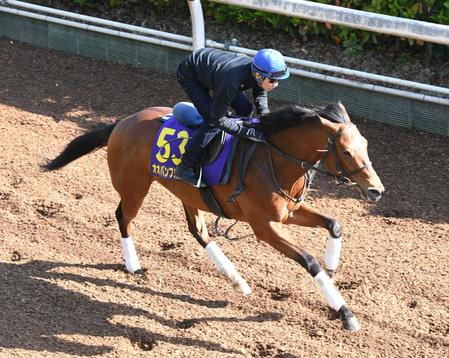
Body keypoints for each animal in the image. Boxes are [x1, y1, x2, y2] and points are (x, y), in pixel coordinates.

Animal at [43, 100, 384, 330]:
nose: (376, 191)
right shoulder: (265, 226)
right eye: (347, 151)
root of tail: (121, 123)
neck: (273, 159)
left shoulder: (290, 211)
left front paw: (332, 265)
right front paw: (345, 312)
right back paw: (133, 265)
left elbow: (335, 224)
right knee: (123, 217)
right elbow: (309, 261)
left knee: (198, 231)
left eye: (366, 145)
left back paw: (238, 281)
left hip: (187, 193)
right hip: (135, 187)